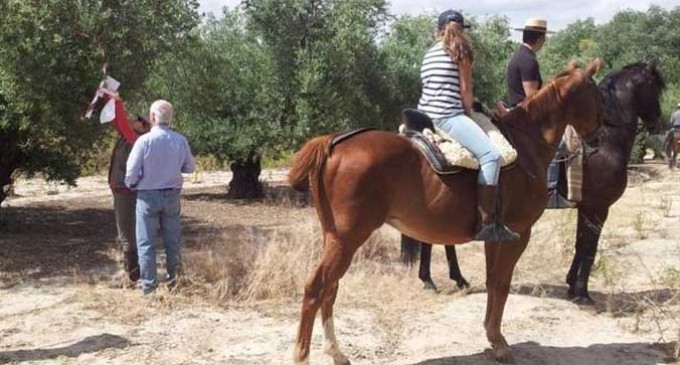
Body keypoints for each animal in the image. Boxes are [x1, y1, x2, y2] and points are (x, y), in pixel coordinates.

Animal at [286, 59, 600, 364]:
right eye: (597, 94)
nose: (597, 140)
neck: (524, 147)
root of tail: (334, 142)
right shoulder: (520, 235)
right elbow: (501, 284)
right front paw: (500, 345)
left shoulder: (494, 238)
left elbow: (492, 283)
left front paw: (492, 337)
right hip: (347, 239)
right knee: (316, 288)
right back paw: (304, 356)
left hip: (335, 238)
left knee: (330, 289)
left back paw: (337, 353)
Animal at [404, 61, 664, 302]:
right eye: (654, 86)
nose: (658, 122)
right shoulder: (597, 208)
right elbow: (589, 248)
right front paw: (582, 292)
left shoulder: (586, 207)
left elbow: (580, 245)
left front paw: (571, 284)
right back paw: (432, 279)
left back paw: (453, 278)